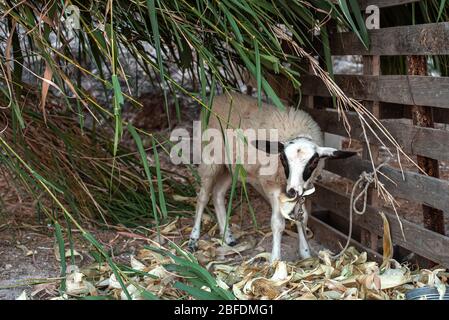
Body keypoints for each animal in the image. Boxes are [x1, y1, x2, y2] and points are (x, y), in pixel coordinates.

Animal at [187, 92, 356, 262]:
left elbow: (302, 218)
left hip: (231, 167)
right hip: (210, 160)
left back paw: (227, 237)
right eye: (282, 158)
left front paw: (306, 253)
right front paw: (275, 259)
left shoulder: (303, 187)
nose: (291, 192)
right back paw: (194, 239)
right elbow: (277, 223)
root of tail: (217, 97)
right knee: (203, 197)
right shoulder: (271, 184)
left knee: (217, 194)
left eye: (314, 161)